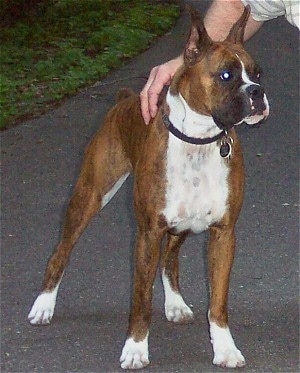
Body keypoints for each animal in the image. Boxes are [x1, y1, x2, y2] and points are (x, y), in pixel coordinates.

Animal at [28, 5, 270, 370]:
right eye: (227, 75)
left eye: (257, 74)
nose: (257, 93)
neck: (199, 141)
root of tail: (125, 99)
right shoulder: (147, 232)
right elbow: (141, 300)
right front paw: (135, 349)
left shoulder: (223, 233)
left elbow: (218, 302)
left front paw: (225, 349)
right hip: (89, 198)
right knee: (60, 253)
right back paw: (43, 305)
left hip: (182, 224)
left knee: (169, 259)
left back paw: (176, 304)